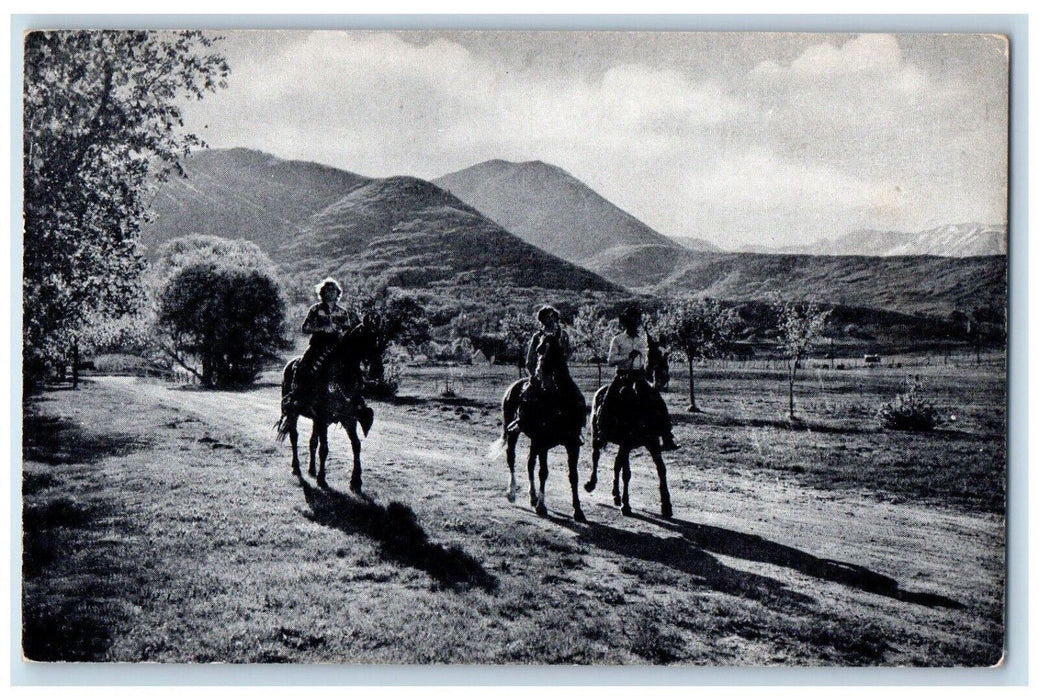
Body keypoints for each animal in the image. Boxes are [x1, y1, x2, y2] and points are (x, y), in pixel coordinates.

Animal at [276, 317, 382, 490]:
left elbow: (356, 445)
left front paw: (356, 481)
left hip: (315, 420)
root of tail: (289, 364)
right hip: (294, 413)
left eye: (378, 339)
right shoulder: (322, 418)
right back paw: (296, 468)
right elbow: (324, 449)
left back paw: (311, 470)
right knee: (294, 436)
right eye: (367, 339)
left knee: (312, 441)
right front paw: (322, 479)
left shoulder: (348, 419)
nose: (377, 371)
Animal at [490, 330, 590, 517]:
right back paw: (512, 493)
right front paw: (541, 506)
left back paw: (532, 497)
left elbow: (573, 475)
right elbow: (543, 472)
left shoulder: (572, 444)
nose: (538, 374)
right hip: (514, 433)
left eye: (555, 350)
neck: (561, 403)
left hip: (534, 441)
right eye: (539, 349)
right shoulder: (543, 443)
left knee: (530, 463)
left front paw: (578, 510)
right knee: (511, 458)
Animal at [585, 351, 673, 515]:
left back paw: (616, 495)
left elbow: (661, 469)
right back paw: (591, 484)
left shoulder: (652, 443)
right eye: (651, 355)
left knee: (616, 463)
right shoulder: (626, 443)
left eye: (665, 358)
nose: (663, 378)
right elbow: (626, 473)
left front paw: (666, 505)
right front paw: (626, 505)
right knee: (596, 456)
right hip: (597, 436)